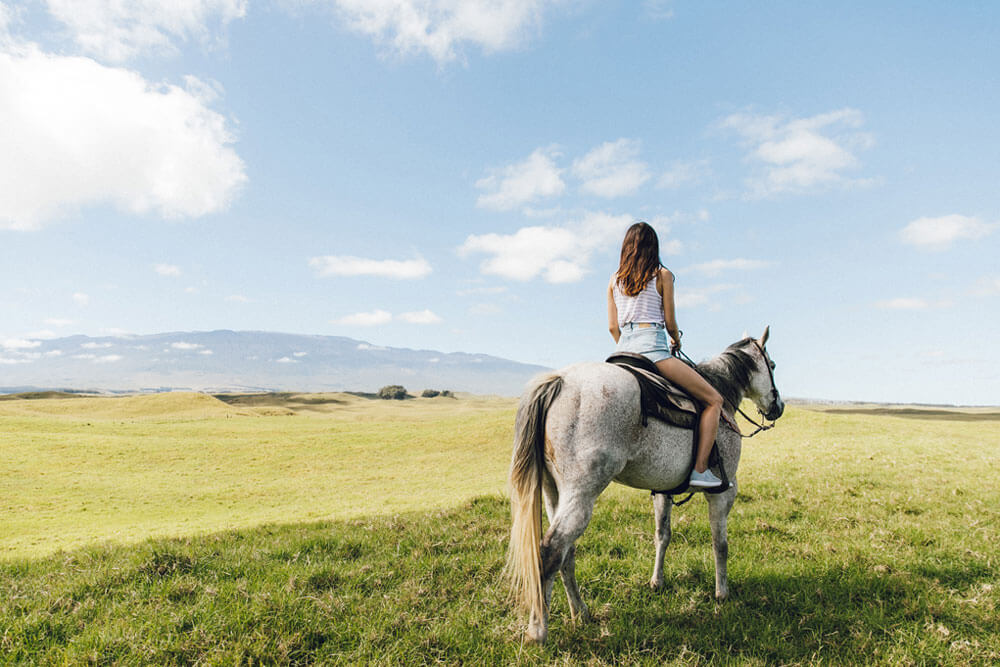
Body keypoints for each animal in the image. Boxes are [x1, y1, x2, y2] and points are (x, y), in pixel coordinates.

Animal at [508, 328, 780, 640]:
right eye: (772, 366)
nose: (778, 407)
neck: (721, 397)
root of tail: (561, 381)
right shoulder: (724, 493)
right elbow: (719, 544)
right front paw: (721, 593)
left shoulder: (663, 492)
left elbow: (662, 536)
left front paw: (656, 582)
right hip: (581, 495)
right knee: (551, 550)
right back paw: (538, 630)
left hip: (553, 492)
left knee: (566, 553)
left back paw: (580, 612)